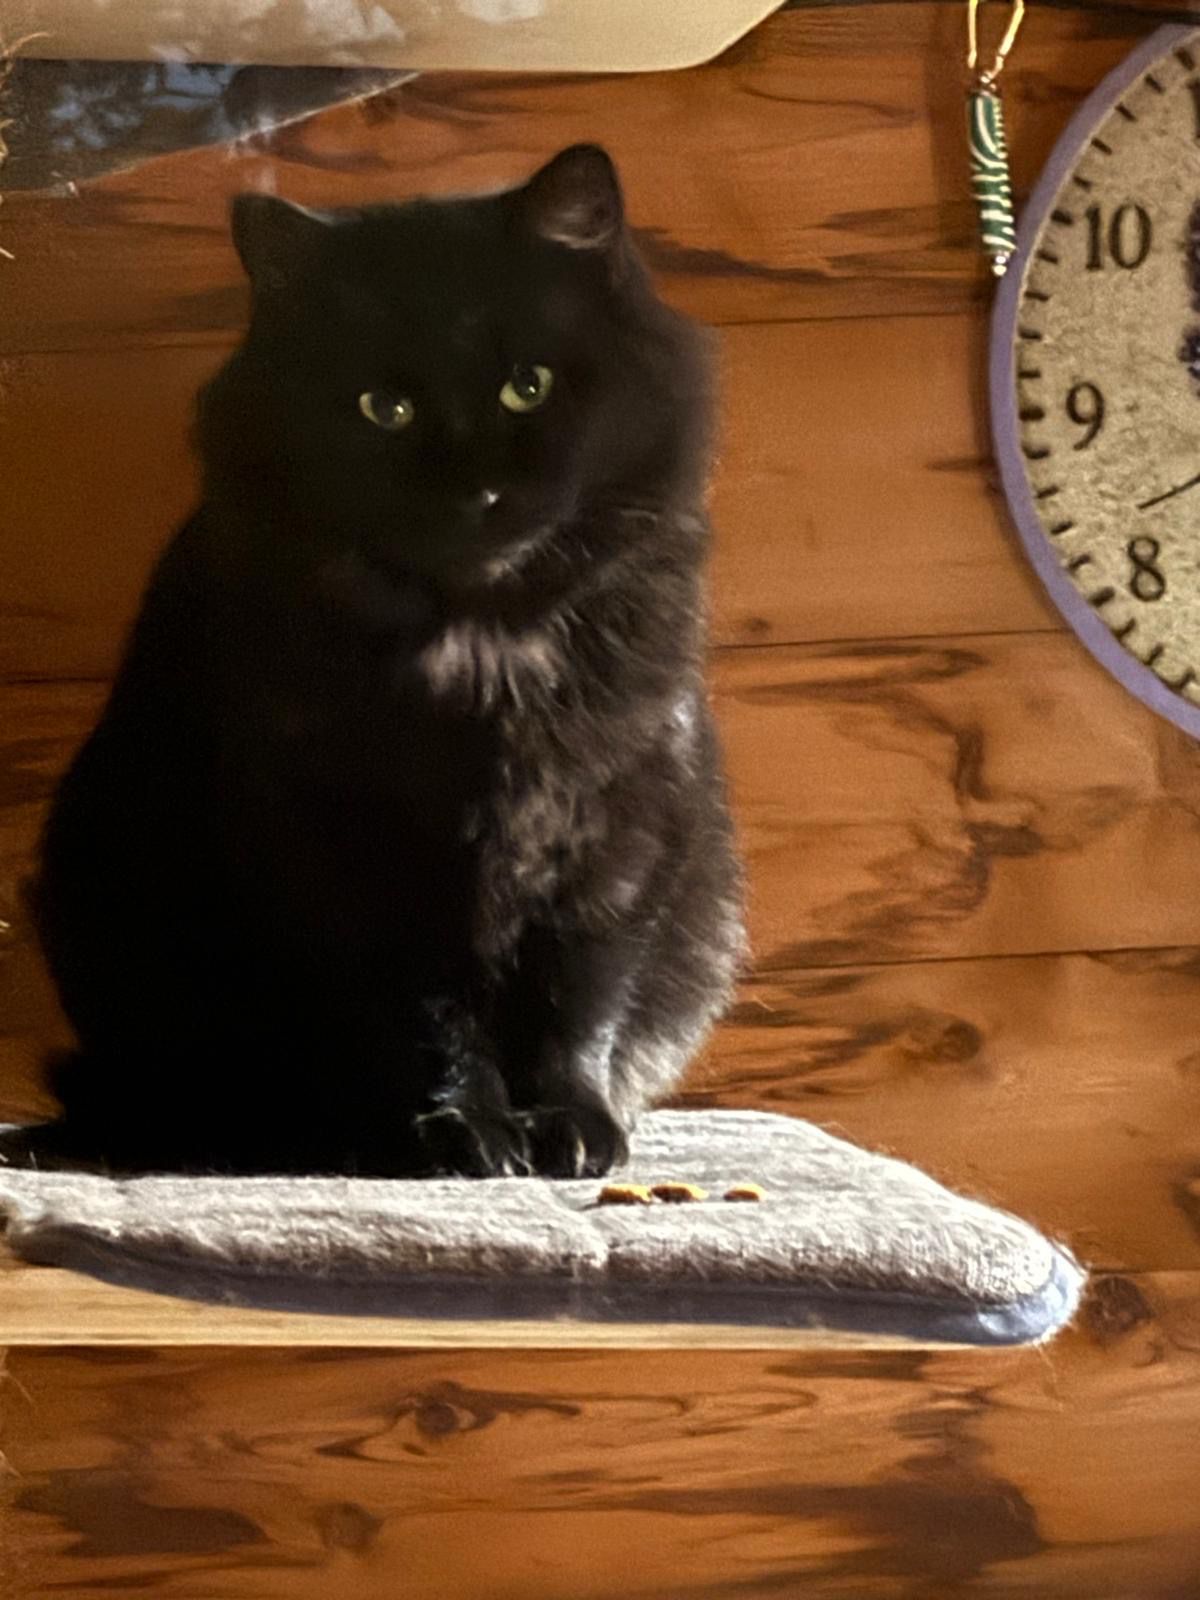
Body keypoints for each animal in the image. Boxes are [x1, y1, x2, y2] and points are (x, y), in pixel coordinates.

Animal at [27, 144, 745, 1178]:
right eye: (386, 409)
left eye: (527, 386)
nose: (477, 495)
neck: (484, 640)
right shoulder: (354, 845)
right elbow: (426, 1015)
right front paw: (463, 1132)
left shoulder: (619, 821)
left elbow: (580, 1000)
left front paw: (573, 1126)